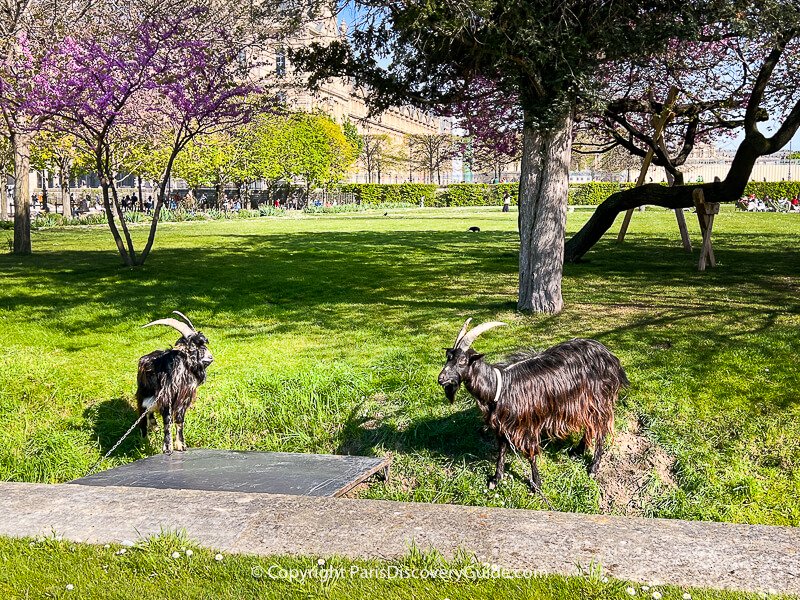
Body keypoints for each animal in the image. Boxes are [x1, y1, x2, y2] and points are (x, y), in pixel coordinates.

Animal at [137, 312, 212, 452]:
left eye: (204, 344)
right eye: (192, 346)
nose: (210, 358)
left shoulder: (183, 399)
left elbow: (179, 421)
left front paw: (181, 445)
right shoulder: (166, 398)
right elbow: (167, 421)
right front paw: (167, 447)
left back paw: (154, 426)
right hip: (143, 393)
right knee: (144, 413)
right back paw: (146, 433)